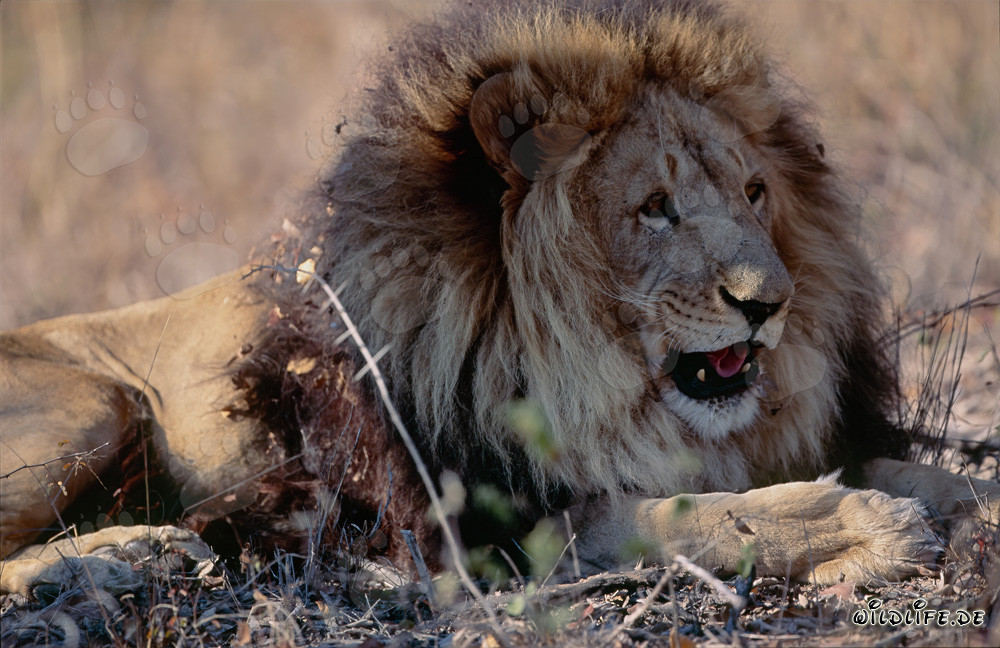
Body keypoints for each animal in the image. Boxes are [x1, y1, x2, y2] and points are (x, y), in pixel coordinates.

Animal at [2, 0, 998, 596]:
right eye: (655, 207)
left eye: (755, 193)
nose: (772, 303)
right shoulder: (494, 525)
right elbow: (687, 515)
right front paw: (867, 527)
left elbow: (928, 474)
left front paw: (961, 505)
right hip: (95, 404)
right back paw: (123, 555)